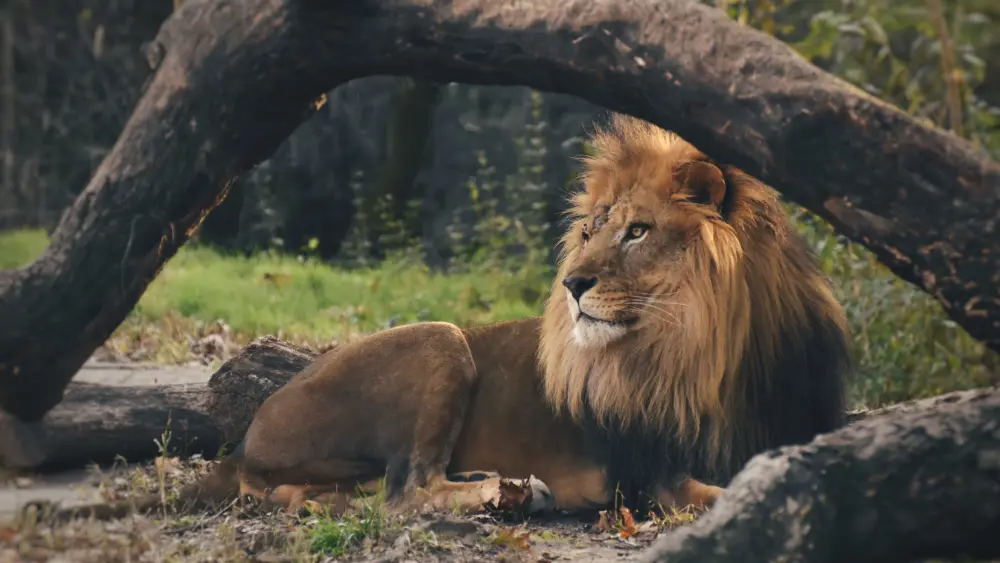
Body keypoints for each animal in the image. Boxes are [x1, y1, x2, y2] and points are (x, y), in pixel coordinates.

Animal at [44, 114, 851, 523]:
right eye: (591, 228)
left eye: (637, 231)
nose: (571, 283)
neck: (710, 349)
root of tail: (245, 434)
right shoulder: (654, 473)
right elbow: (721, 488)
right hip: (440, 341)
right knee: (404, 491)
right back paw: (507, 491)